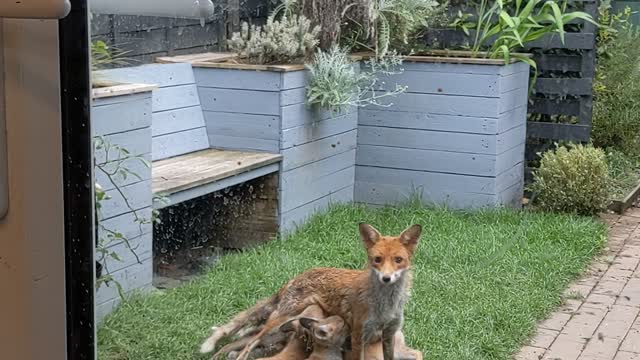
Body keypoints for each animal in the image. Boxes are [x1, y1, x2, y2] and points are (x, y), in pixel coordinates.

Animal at [200, 222, 420, 360]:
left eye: (398, 260)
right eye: (377, 260)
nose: (386, 278)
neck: (385, 305)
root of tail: (294, 278)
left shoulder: (388, 335)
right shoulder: (359, 335)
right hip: (278, 321)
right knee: (249, 344)